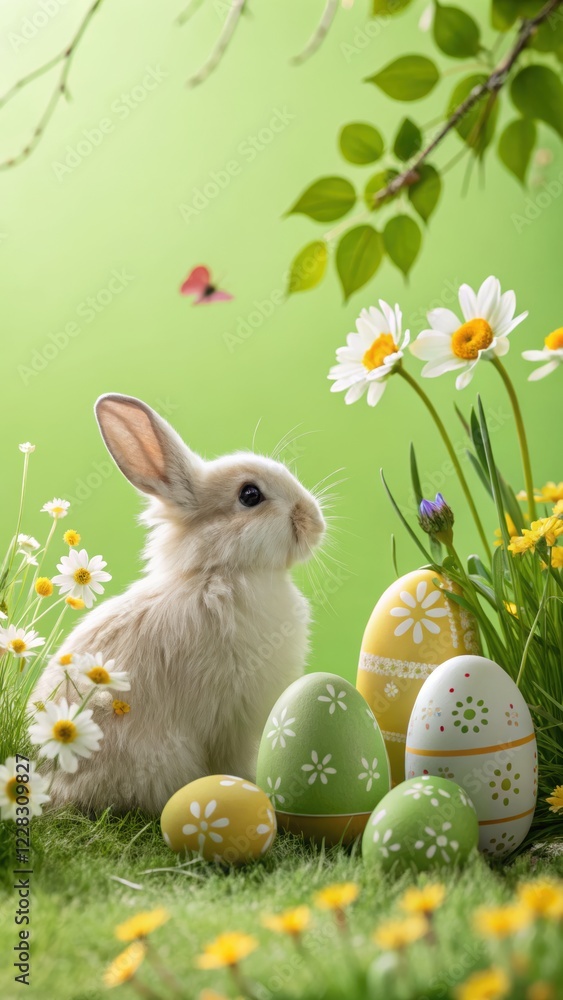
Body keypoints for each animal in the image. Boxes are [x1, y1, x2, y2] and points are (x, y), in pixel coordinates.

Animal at [31, 393, 326, 816]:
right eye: (250, 495)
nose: (315, 522)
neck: (218, 572)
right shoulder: (232, 719)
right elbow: (235, 761)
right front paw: (249, 789)